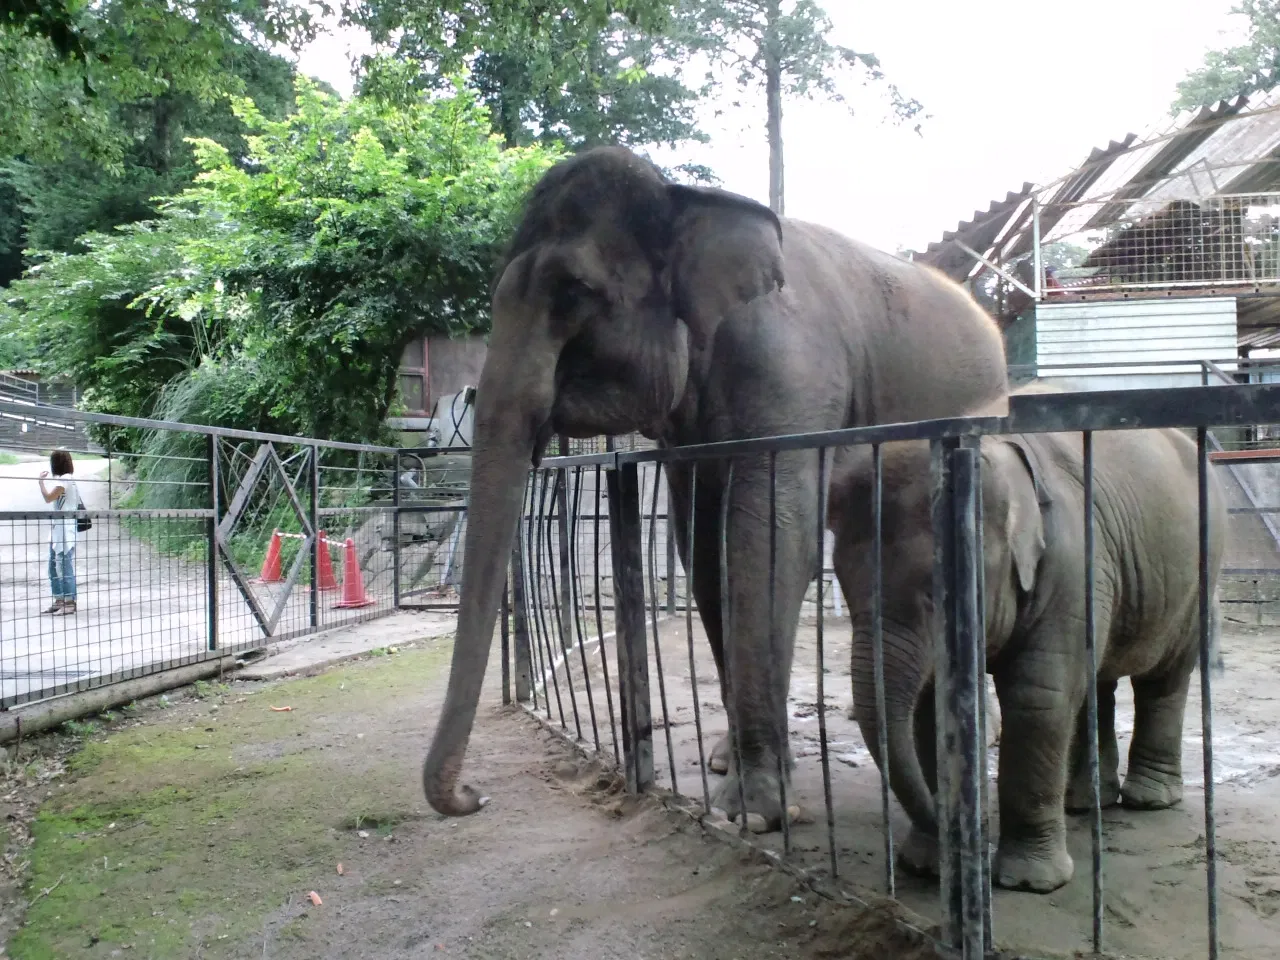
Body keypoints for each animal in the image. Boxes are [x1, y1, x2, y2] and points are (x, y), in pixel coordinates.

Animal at [421, 144, 1009, 831]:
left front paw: (756, 813)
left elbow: (767, 542)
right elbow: (702, 552)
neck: (685, 202)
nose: (472, 796)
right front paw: (733, 769)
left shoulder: (791, 380)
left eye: (574, 292)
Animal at [835, 405, 1227, 893]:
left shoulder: (1071, 561)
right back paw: (1085, 802)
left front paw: (1028, 882)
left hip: (1200, 575)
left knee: (1162, 680)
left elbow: (1037, 698)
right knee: (1096, 686)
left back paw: (1149, 800)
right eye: (843, 586)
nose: (971, 850)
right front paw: (928, 867)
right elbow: (930, 709)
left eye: (935, 593)